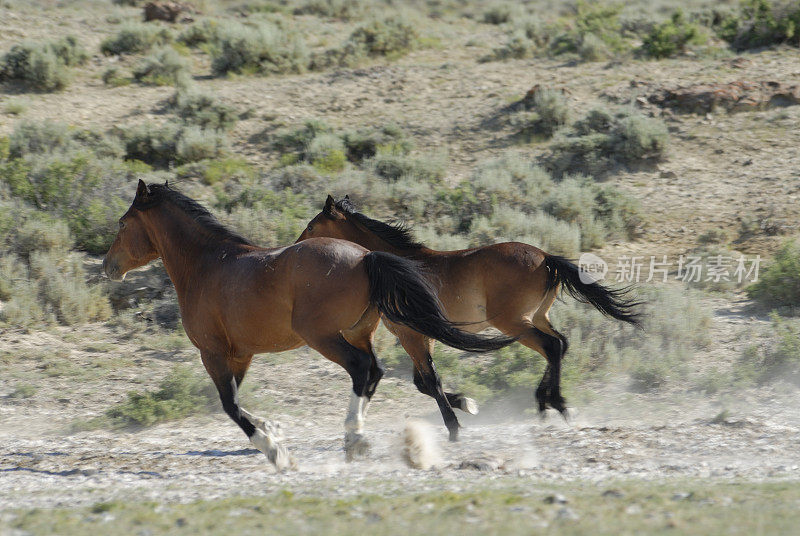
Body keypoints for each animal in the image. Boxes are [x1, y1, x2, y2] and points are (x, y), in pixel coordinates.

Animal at [101, 182, 512, 466]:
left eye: (122, 223)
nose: (108, 266)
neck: (205, 265)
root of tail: (367, 257)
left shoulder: (212, 352)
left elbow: (229, 405)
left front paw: (272, 448)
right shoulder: (240, 355)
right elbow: (237, 400)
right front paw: (271, 430)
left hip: (323, 336)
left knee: (362, 369)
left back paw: (355, 436)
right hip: (357, 332)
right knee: (375, 371)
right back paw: (356, 437)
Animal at [296, 197, 640, 440]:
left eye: (312, 226)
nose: (297, 245)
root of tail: (546, 258)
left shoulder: (411, 335)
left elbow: (430, 382)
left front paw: (456, 425)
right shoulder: (424, 336)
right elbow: (423, 383)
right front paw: (466, 403)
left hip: (514, 322)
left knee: (552, 346)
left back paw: (555, 404)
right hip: (537, 317)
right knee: (561, 343)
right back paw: (545, 404)